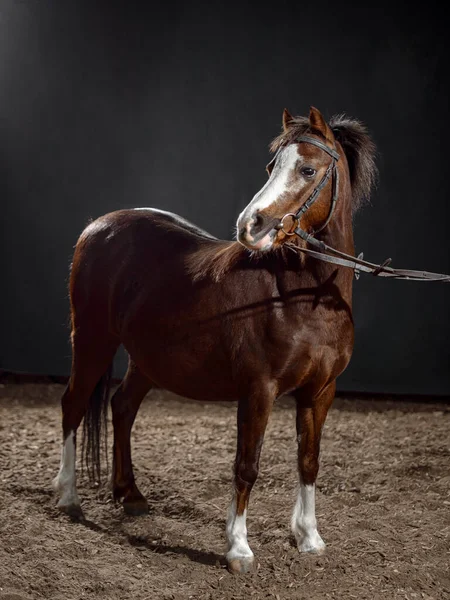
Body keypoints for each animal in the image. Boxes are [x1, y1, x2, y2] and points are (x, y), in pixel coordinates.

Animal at [52, 106, 376, 572]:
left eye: (308, 169)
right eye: (272, 166)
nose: (251, 225)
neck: (301, 294)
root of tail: (98, 226)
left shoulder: (320, 391)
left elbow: (309, 461)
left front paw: (309, 537)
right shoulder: (258, 390)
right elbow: (247, 464)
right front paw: (238, 548)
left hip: (146, 359)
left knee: (122, 407)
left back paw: (130, 494)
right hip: (92, 341)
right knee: (73, 406)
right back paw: (68, 497)